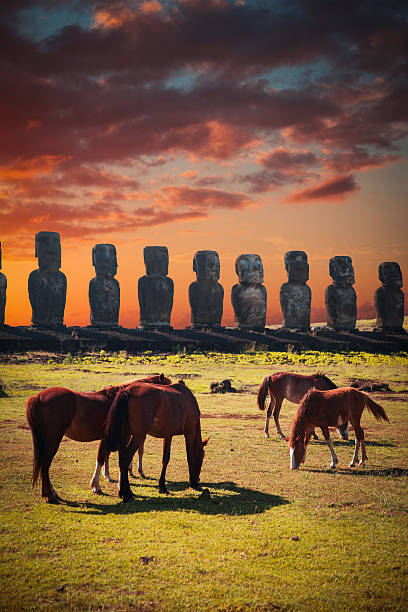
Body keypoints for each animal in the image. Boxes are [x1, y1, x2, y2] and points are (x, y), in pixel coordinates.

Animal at [25, 370, 172, 504]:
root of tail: (38, 397)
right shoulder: (119, 437)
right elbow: (106, 458)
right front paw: (99, 486)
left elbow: (107, 457)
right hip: (52, 440)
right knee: (45, 464)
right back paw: (49, 495)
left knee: (43, 464)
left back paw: (51, 493)